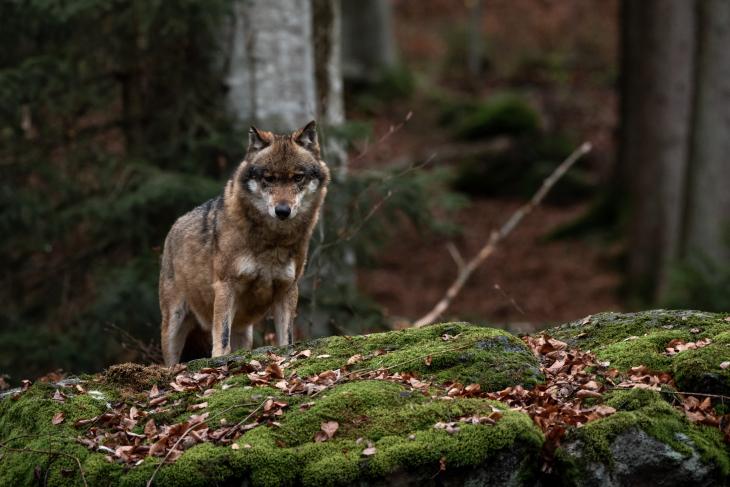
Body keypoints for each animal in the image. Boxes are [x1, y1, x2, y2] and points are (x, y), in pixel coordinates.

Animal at [161, 122, 332, 366]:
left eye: (298, 178)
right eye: (269, 178)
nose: (282, 211)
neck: (273, 241)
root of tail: (175, 224)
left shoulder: (288, 289)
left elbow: (286, 339)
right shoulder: (226, 285)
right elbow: (222, 339)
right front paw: (219, 361)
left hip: (244, 331)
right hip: (174, 325)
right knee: (171, 362)